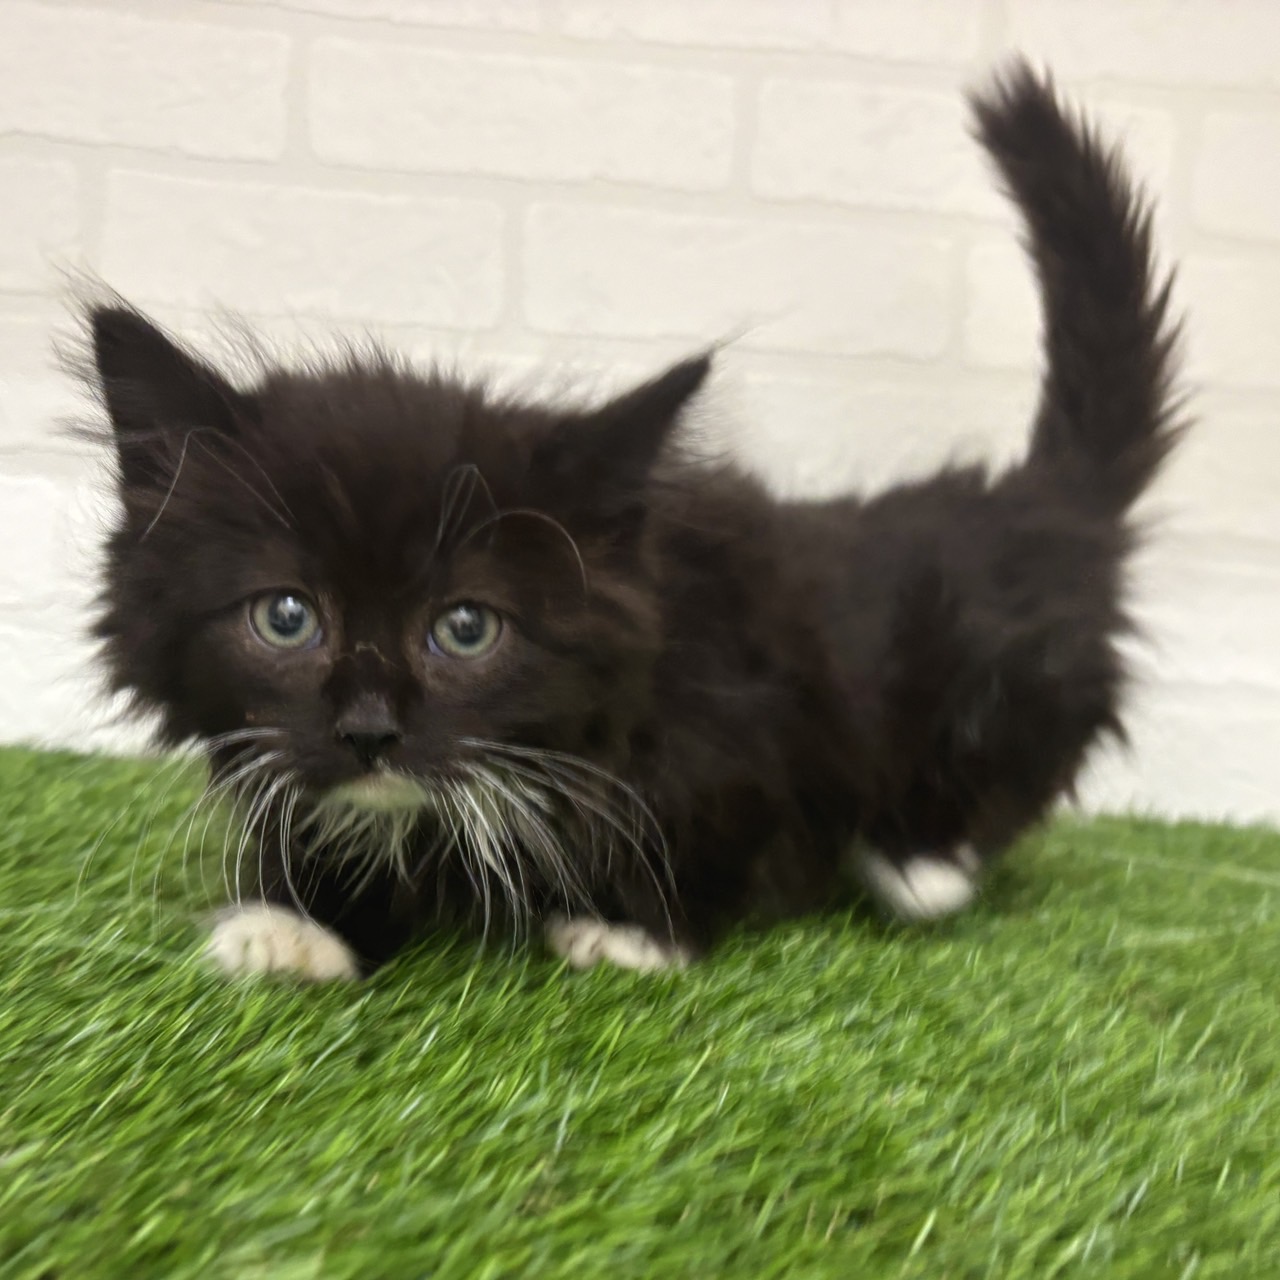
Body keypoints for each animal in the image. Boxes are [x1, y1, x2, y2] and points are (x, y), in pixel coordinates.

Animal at [78, 60, 1184, 981]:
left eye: (466, 627)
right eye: (285, 616)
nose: (368, 729)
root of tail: (1035, 504)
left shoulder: (751, 713)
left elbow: (733, 822)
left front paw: (633, 928)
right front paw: (299, 920)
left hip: (1007, 679)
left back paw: (919, 860)